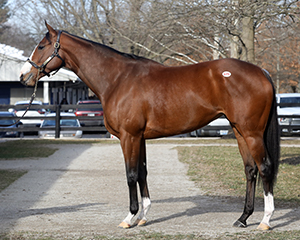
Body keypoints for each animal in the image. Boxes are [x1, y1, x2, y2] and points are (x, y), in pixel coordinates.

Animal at [19, 22, 280, 231]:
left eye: (41, 46)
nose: (23, 76)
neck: (118, 79)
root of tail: (262, 72)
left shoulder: (129, 136)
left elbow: (131, 174)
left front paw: (129, 217)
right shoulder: (140, 138)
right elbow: (142, 172)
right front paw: (143, 217)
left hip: (252, 133)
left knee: (265, 167)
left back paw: (265, 221)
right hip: (239, 131)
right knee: (250, 170)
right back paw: (243, 218)